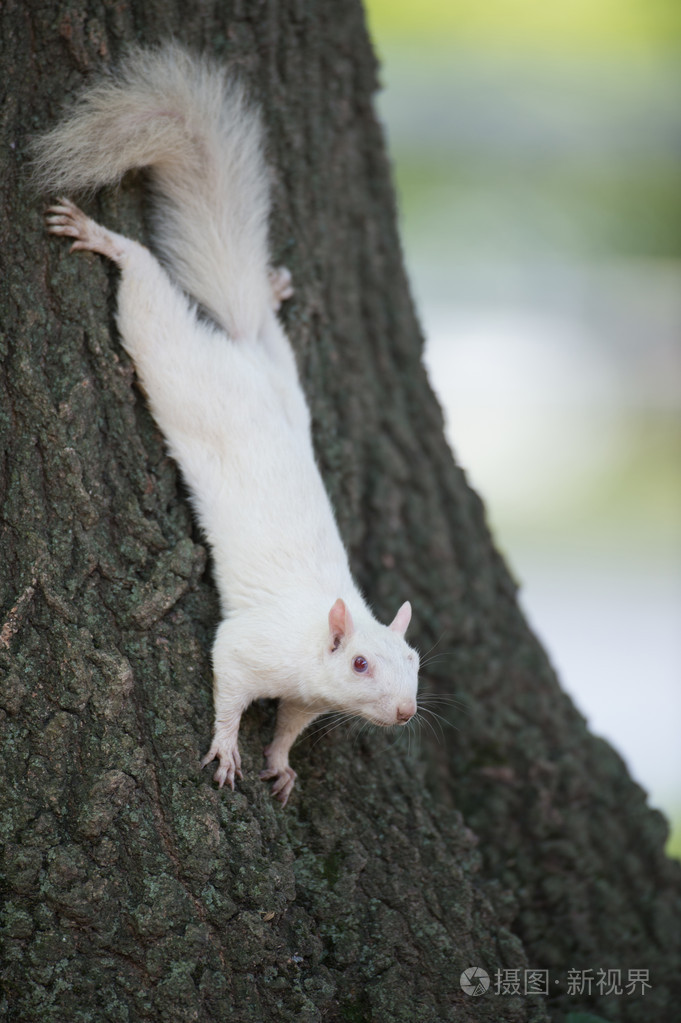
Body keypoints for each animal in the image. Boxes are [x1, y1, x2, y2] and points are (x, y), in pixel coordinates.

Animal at [37, 43, 421, 802]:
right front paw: (226, 748)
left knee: (267, 333)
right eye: (361, 664)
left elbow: (291, 722)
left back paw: (268, 293)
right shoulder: (248, 646)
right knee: (145, 287)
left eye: (416, 659)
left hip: (283, 372)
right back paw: (104, 240)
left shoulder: (303, 695)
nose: (404, 711)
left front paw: (280, 761)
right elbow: (227, 686)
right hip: (170, 356)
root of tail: (239, 354)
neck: (312, 637)